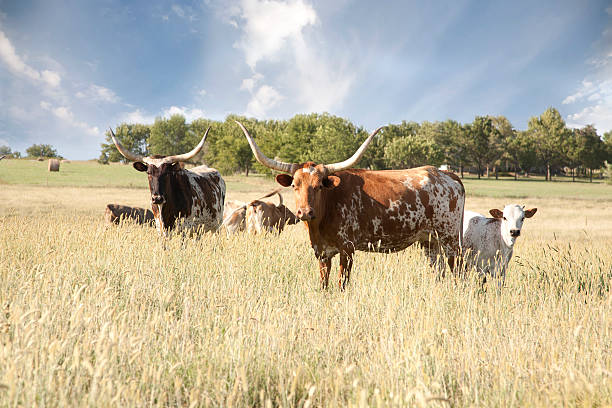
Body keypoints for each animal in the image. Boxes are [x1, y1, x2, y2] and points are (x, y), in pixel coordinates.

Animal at [237, 121, 466, 290]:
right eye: (294, 185)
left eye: (319, 186)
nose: (305, 212)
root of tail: (446, 174)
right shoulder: (322, 252)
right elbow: (324, 284)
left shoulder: (347, 249)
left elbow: (342, 283)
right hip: (429, 241)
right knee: (439, 270)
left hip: (450, 238)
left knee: (457, 269)